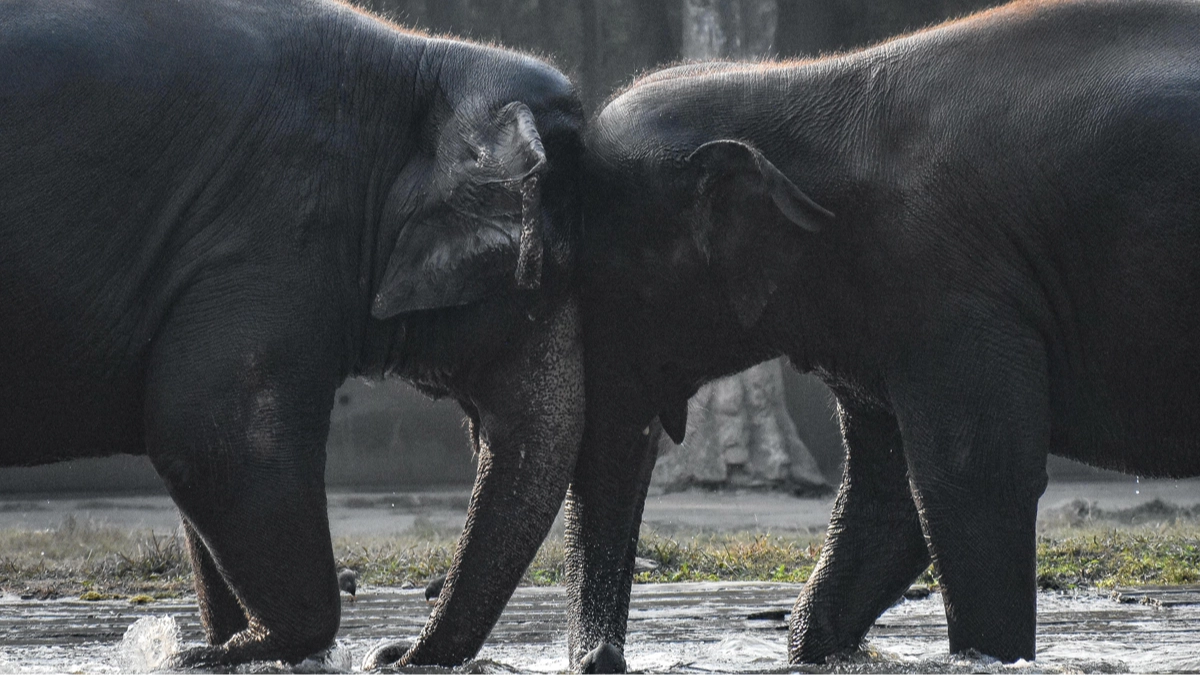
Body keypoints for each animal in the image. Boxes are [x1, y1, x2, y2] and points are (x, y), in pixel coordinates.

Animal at [0, 0, 584, 667]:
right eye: (542, 277)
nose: (393, 654)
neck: (423, 61)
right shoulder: (276, 227)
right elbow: (213, 434)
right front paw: (218, 653)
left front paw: (219, 645)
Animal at [567, 0, 1200, 668]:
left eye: (606, 290)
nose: (603, 658)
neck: (794, 86)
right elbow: (884, 504)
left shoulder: (951, 284)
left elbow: (975, 481)